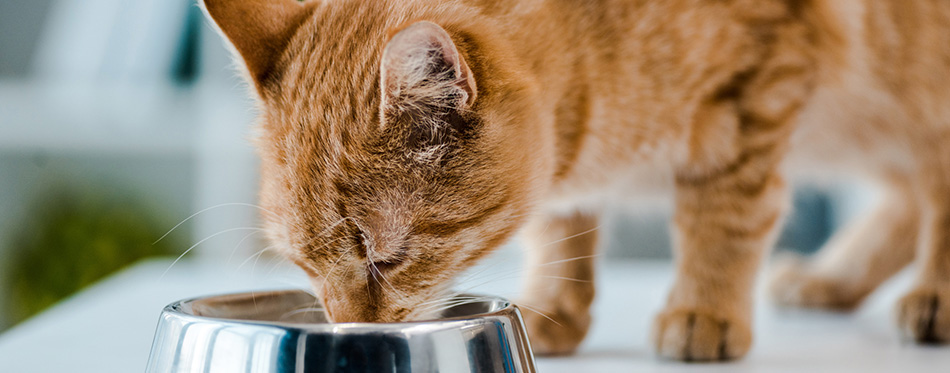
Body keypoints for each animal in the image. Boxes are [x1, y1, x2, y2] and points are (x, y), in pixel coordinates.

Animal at [203, 0, 950, 360]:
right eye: (303, 264)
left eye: (383, 258)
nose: (349, 329)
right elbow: (560, 223)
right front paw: (554, 304)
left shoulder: (756, 92)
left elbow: (722, 218)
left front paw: (704, 307)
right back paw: (832, 278)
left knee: (933, 187)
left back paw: (932, 296)